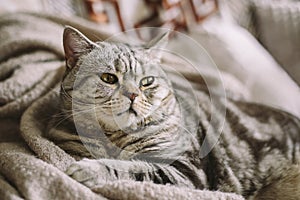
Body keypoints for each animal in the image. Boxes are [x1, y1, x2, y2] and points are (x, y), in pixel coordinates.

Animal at [49, 26, 300, 198]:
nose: (133, 95)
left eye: (146, 82)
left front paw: (88, 169)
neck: (116, 138)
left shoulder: (184, 170)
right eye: (109, 78)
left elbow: (133, 169)